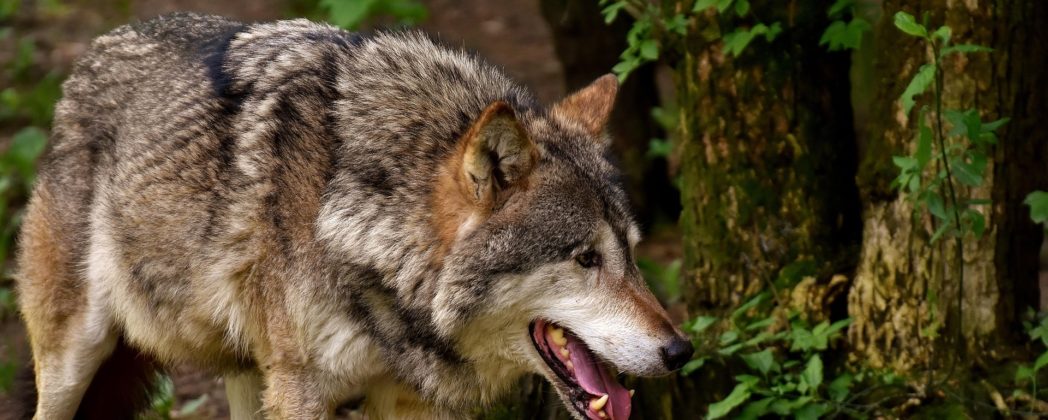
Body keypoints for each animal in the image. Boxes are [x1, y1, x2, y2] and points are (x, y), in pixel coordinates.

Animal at [15, 12, 693, 419]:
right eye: (585, 258)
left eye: (632, 253)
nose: (680, 350)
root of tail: (96, 49)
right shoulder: (302, 393)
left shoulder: (407, 401)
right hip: (74, 360)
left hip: (246, 374)